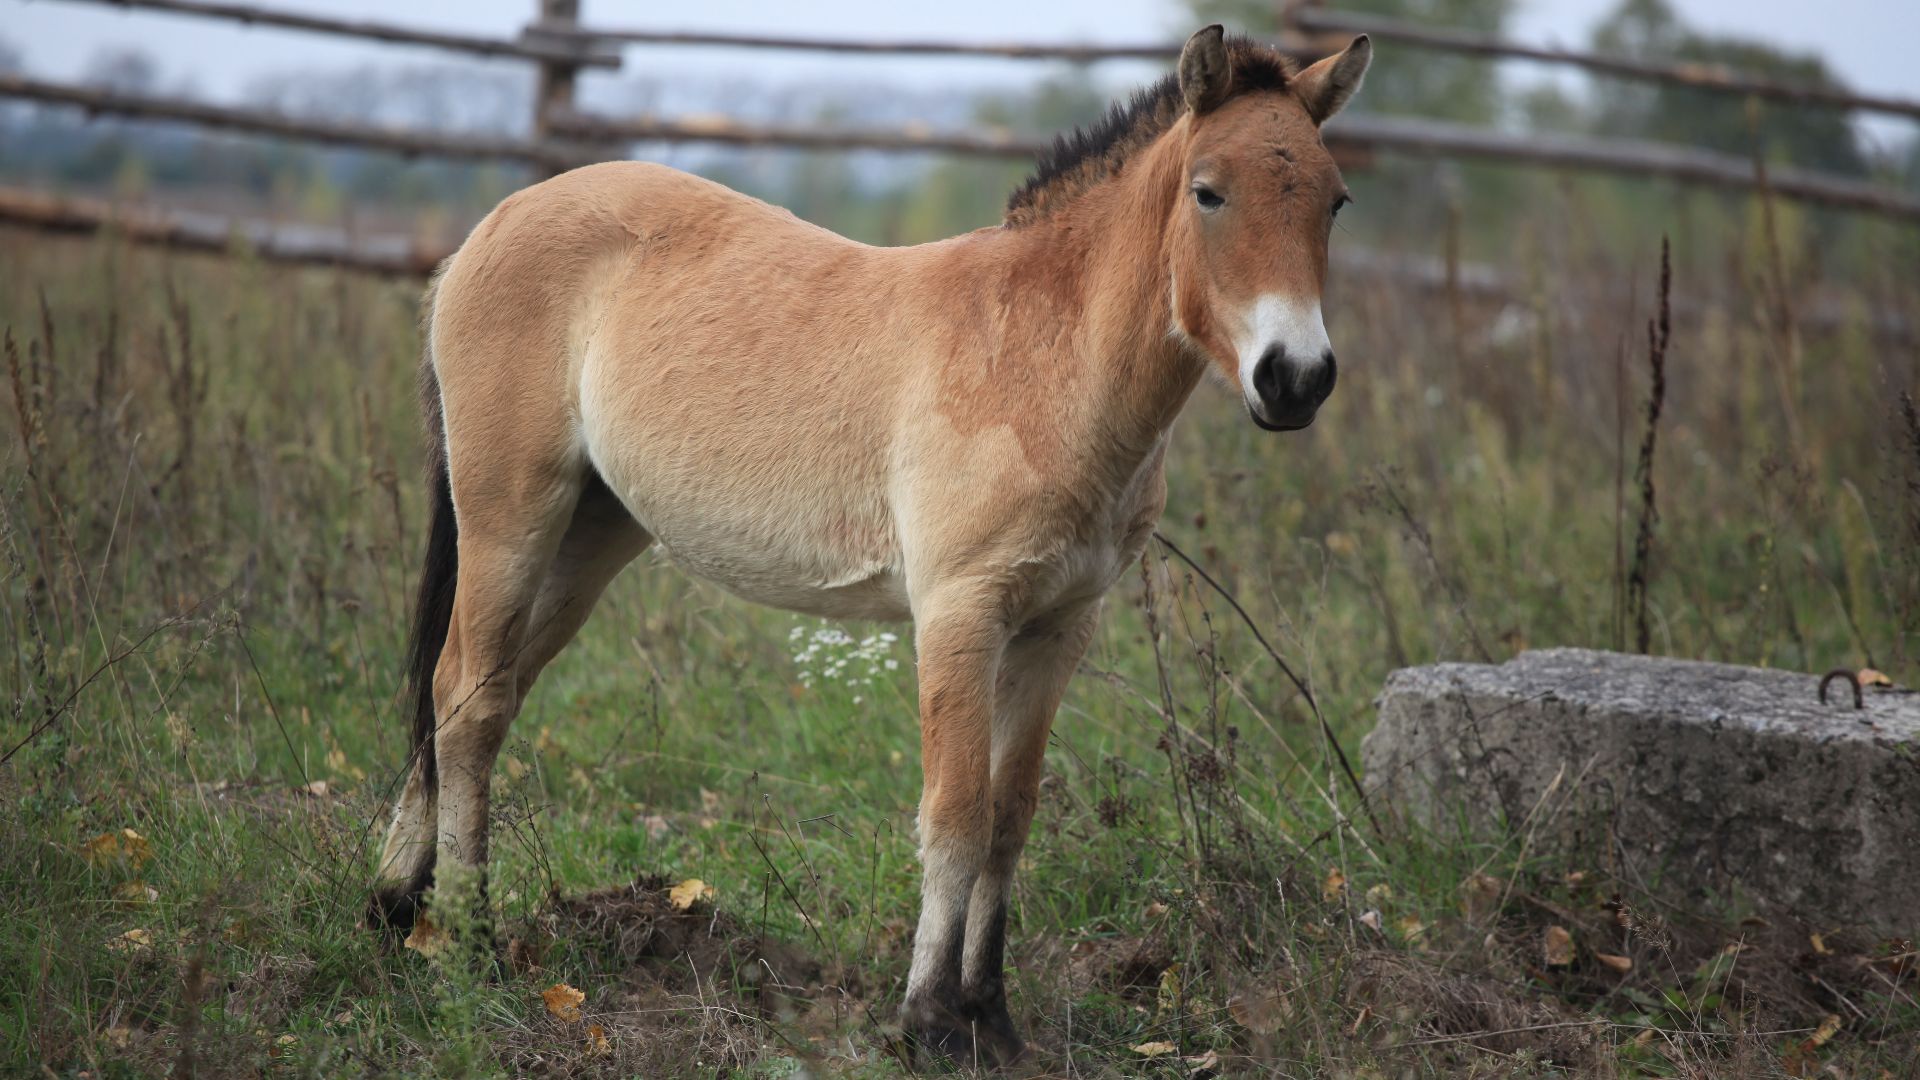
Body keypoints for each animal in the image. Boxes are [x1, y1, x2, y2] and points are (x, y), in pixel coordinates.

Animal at [368, 24, 1370, 1065]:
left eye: (1335, 199)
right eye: (1208, 191)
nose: (1295, 378)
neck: (1040, 358)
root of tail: (491, 225)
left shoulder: (1059, 626)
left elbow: (1011, 816)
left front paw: (992, 1017)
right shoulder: (961, 614)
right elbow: (956, 814)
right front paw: (927, 1020)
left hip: (588, 540)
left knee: (483, 693)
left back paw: (399, 905)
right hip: (510, 517)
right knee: (467, 698)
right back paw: (469, 942)